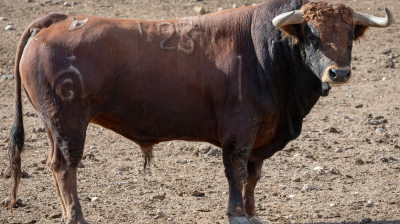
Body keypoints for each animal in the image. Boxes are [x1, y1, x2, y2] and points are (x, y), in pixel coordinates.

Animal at [7, 0, 392, 224]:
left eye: (348, 35)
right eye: (311, 35)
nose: (339, 73)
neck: (268, 52)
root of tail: (59, 20)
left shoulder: (261, 134)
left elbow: (253, 175)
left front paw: (252, 213)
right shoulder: (240, 129)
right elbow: (236, 171)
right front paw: (237, 214)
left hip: (55, 126)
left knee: (54, 165)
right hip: (68, 123)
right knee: (65, 167)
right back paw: (75, 216)